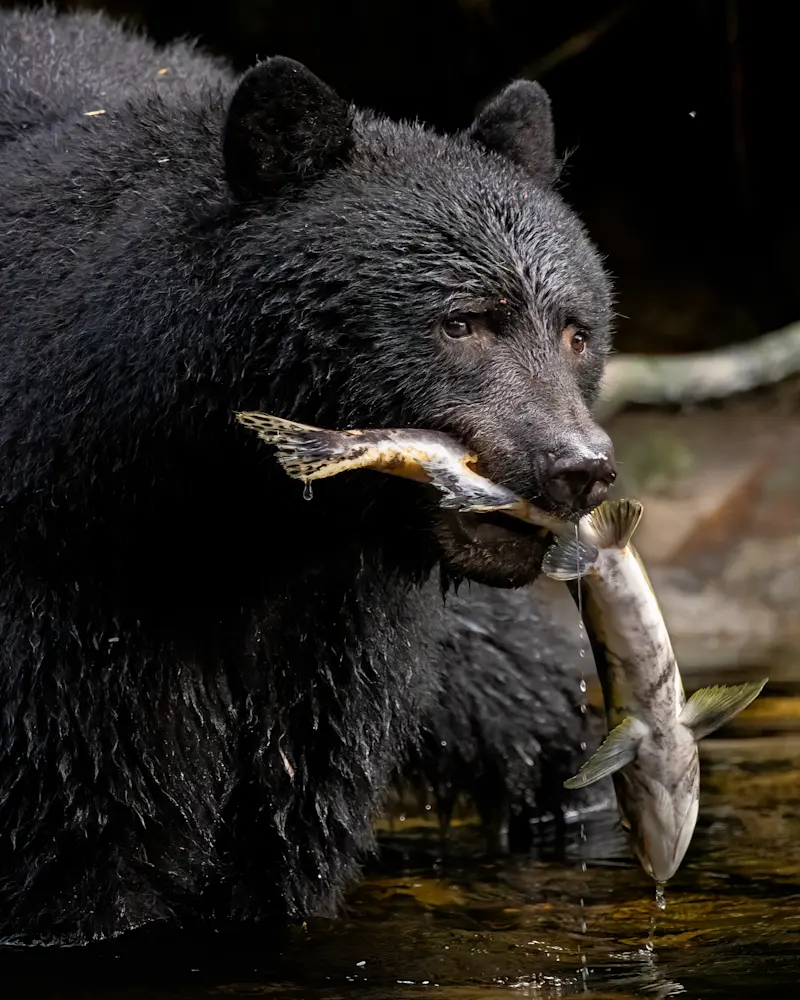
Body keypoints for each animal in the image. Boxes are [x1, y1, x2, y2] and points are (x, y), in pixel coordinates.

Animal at [0, 5, 615, 946]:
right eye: (462, 322)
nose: (578, 466)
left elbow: (290, 820)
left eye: (578, 332)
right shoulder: (66, 595)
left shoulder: (332, 628)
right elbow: (85, 828)